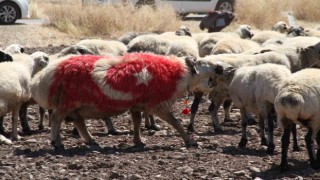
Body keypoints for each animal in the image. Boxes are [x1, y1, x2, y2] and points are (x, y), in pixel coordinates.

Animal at [29, 52, 220, 149]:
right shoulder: (158, 104)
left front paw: (138, 141)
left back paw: (90, 140)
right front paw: (190, 141)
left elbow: (137, 121)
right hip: (69, 102)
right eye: (202, 62)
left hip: (73, 104)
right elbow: (175, 122)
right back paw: (56, 142)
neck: (177, 73)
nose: (219, 67)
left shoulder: (136, 104)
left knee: (78, 121)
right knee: (56, 118)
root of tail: (49, 75)